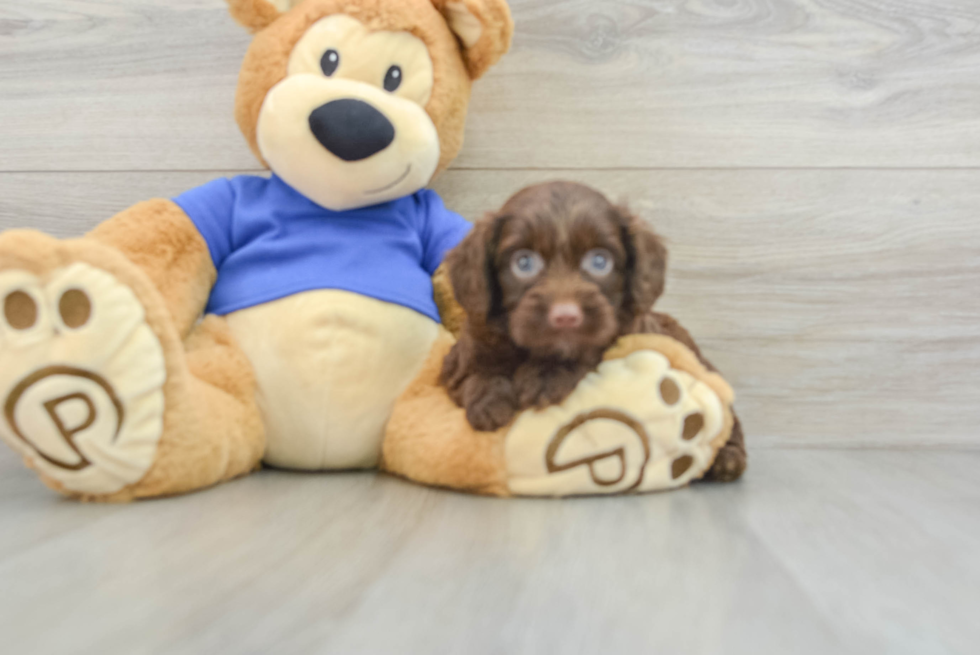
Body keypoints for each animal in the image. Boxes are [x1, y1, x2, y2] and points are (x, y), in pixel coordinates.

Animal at [440, 179, 748, 482]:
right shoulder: (461, 356)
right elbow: (476, 372)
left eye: (599, 261)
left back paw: (727, 458)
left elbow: (587, 352)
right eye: (523, 263)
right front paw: (489, 403)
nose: (565, 316)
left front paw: (546, 377)